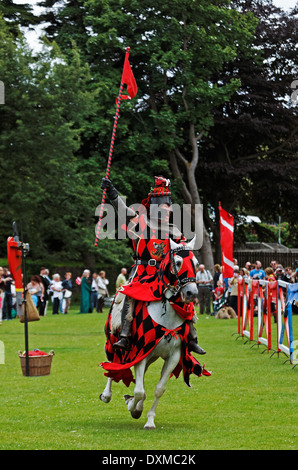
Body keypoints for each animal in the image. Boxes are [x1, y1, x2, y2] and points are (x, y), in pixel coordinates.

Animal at [100, 239, 205, 430]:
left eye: (194, 263)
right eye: (178, 262)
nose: (191, 293)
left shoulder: (172, 356)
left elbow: (158, 389)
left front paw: (148, 419)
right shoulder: (140, 352)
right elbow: (139, 391)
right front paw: (133, 407)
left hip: (151, 356)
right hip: (113, 345)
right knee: (113, 366)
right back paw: (106, 394)